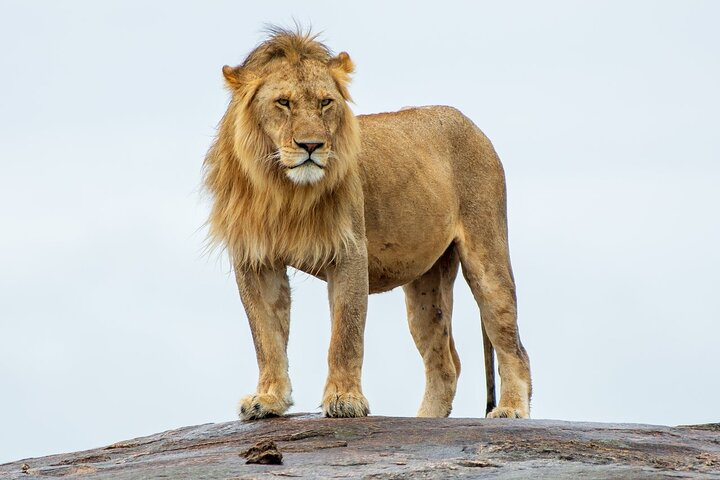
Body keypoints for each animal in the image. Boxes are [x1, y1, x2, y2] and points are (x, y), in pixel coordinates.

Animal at [205, 29, 532, 420]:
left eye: (326, 102)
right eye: (283, 102)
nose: (311, 145)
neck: (285, 190)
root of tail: (469, 122)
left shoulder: (349, 251)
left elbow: (346, 334)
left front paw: (344, 399)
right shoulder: (256, 261)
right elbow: (266, 337)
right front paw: (268, 399)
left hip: (487, 256)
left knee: (512, 344)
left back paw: (511, 409)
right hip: (426, 288)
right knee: (445, 363)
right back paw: (423, 421)